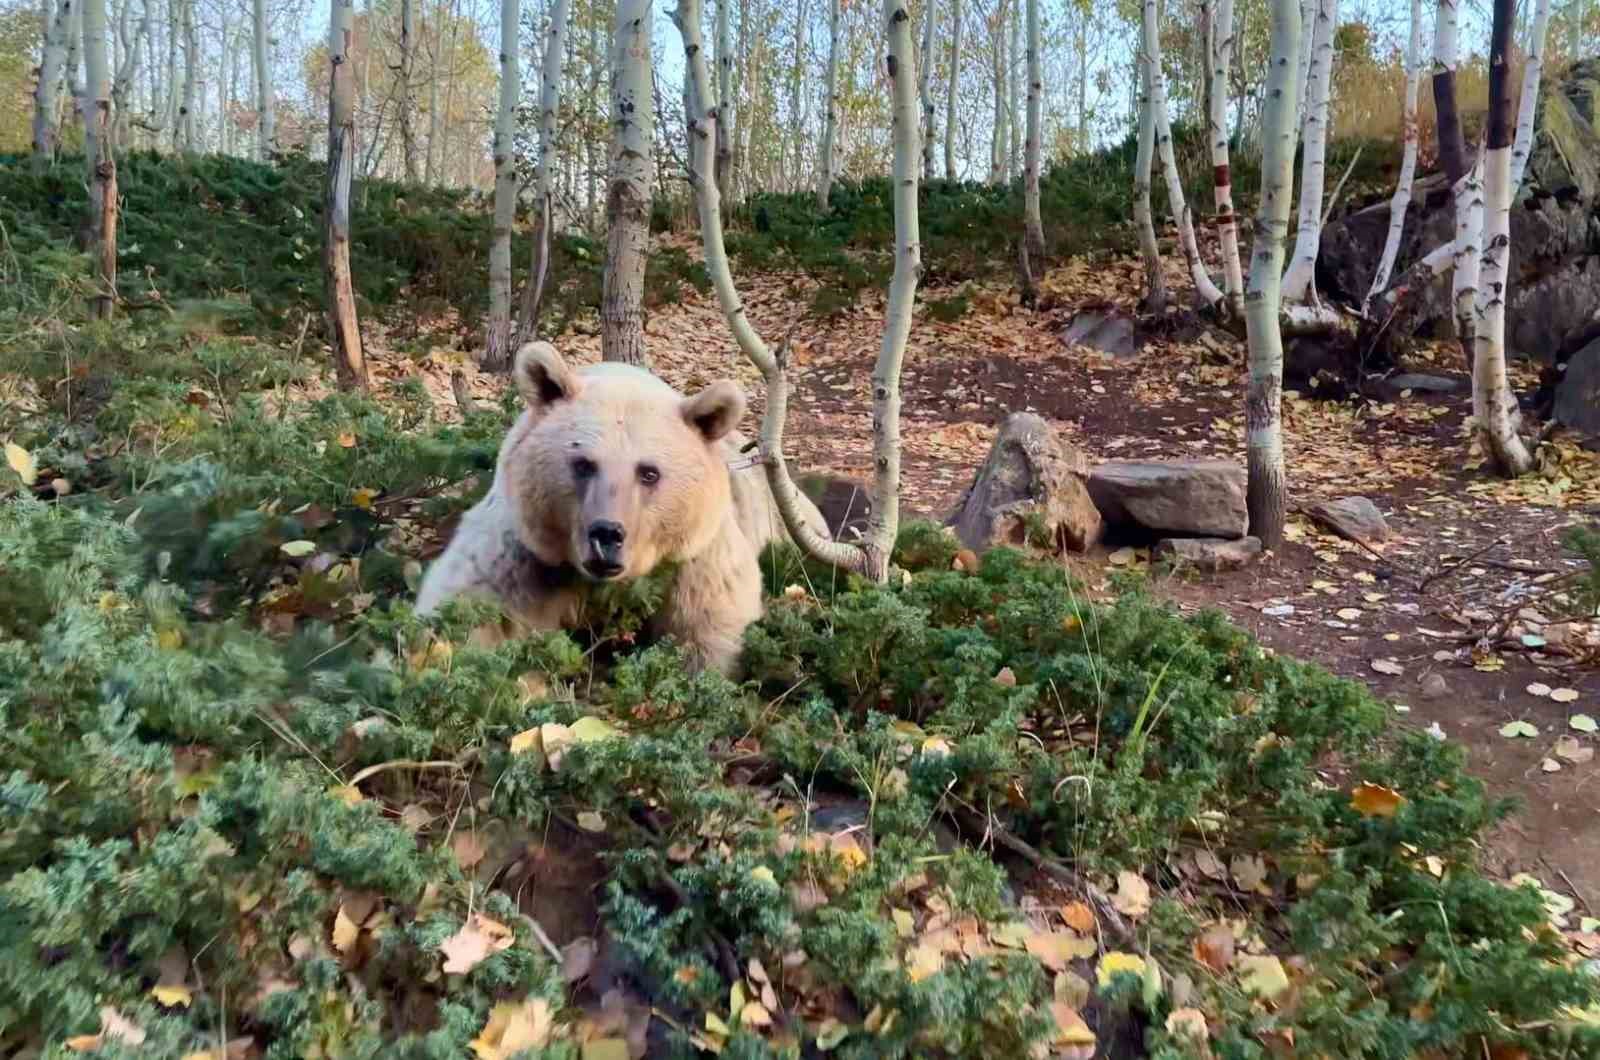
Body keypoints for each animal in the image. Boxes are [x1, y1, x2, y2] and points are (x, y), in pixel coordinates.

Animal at [416, 344, 825, 675]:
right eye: (583, 463)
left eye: (649, 472)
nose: (607, 535)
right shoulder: (526, 551)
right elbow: (471, 605)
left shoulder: (692, 557)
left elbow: (710, 623)